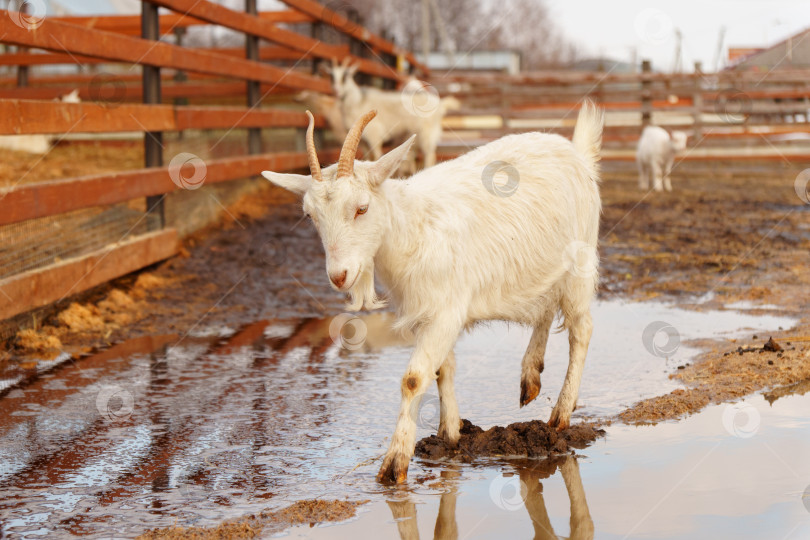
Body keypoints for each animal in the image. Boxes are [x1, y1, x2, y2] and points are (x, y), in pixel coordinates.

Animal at [262, 103, 604, 484]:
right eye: (310, 216)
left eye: (362, 208)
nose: (339, 276)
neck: (413, 226)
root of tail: (578, 153)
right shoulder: (427, 313)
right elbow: (444, 369)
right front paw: (450, 433)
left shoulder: (445, 312)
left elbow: (413, 379)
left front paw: (394, 464)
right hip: (541, 266)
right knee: (544, 308)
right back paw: (530, 376)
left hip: (579, 263)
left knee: (581, 329)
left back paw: (561, 414)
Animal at [326, 58, 454, 169]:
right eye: (331, 76)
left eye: (345, 76)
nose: (336, 90)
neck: (358, 100)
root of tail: (440, 104)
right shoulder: (363, 141)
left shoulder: (374, 134)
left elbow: (376, 156)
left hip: (427, 133)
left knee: (429, 156)